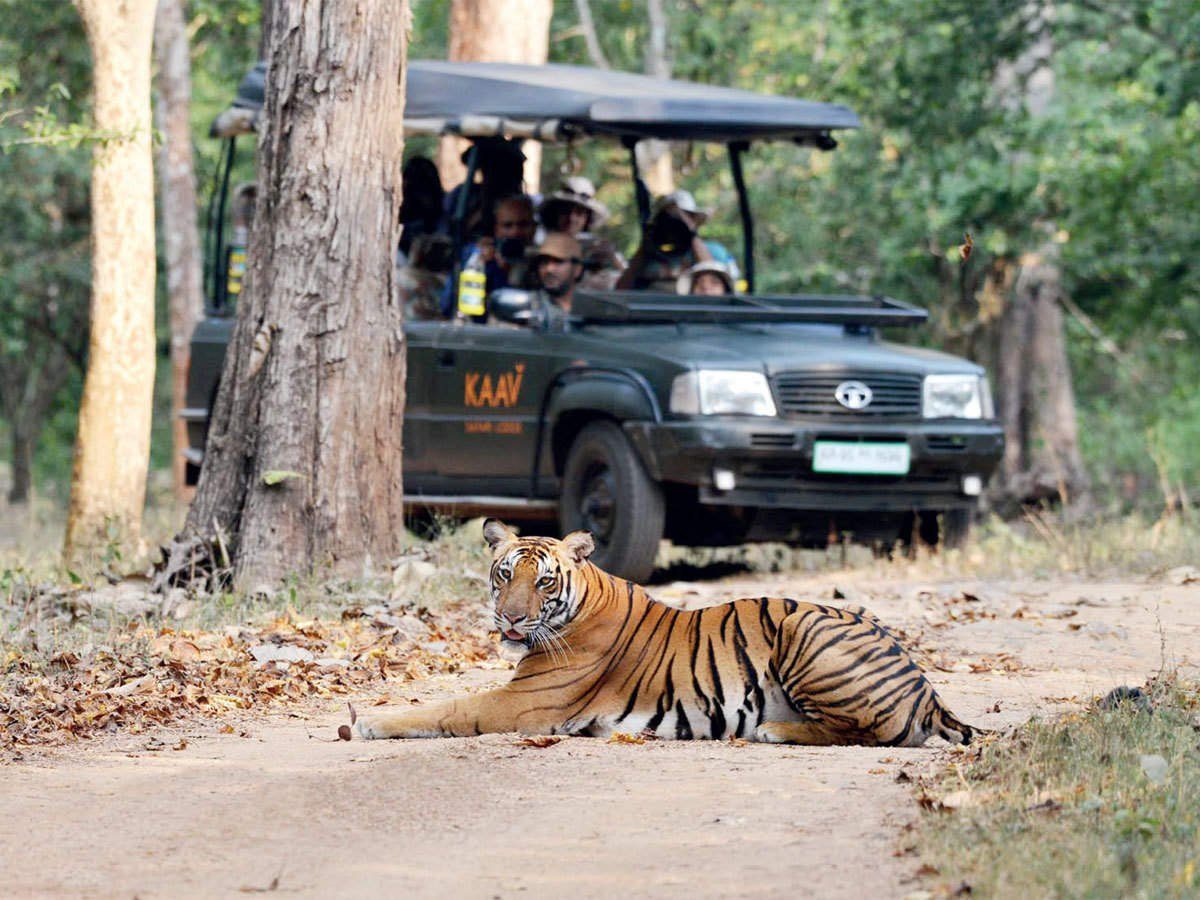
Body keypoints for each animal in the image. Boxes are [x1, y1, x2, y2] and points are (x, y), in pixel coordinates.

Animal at [354, 519, 976, 746]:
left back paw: (775, 730)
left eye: (543, 582)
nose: (509, 619)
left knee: (871, 733)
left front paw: (367, 721)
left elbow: (447, 708)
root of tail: (926, 688)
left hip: (806, 626)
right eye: (505, 574)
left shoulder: (523, 704)